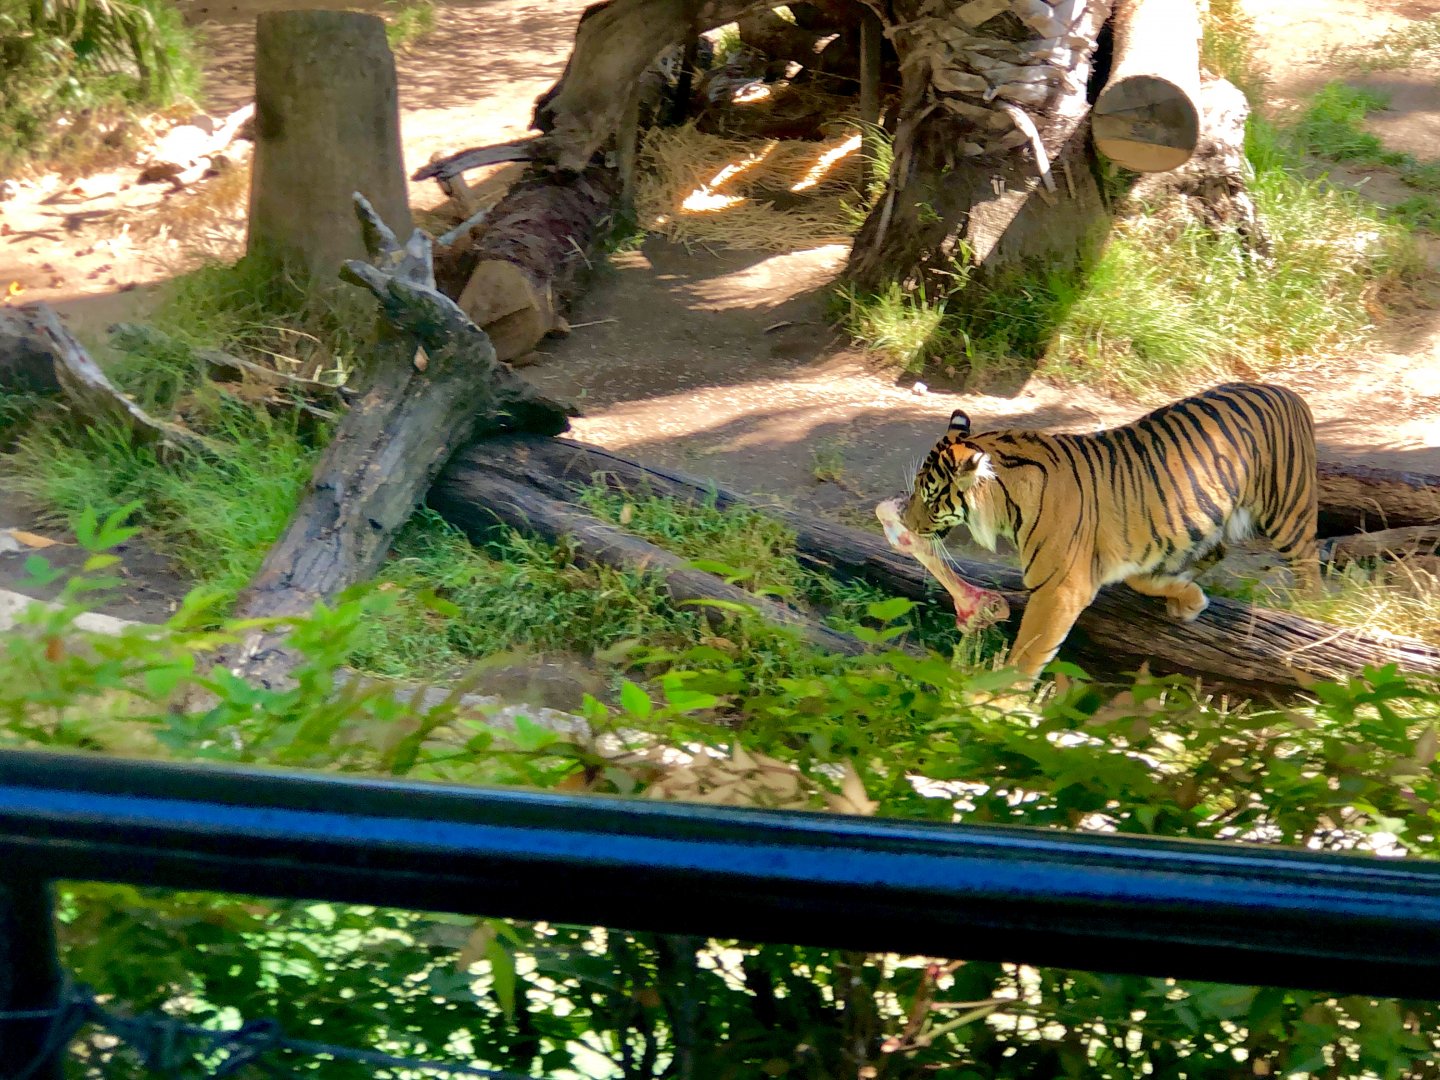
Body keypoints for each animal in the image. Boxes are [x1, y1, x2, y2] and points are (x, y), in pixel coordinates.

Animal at [899, 382, 1321, 679]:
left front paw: (995, 701)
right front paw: (1187, 598)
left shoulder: (1059, 590)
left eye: (932, 499)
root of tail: (1286, 392)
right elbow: (1145, 578)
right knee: (1218, 550)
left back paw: (1306, 615)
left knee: (1309, 565)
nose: (908, 524)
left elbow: (1028, 652)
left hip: (1288, 510)